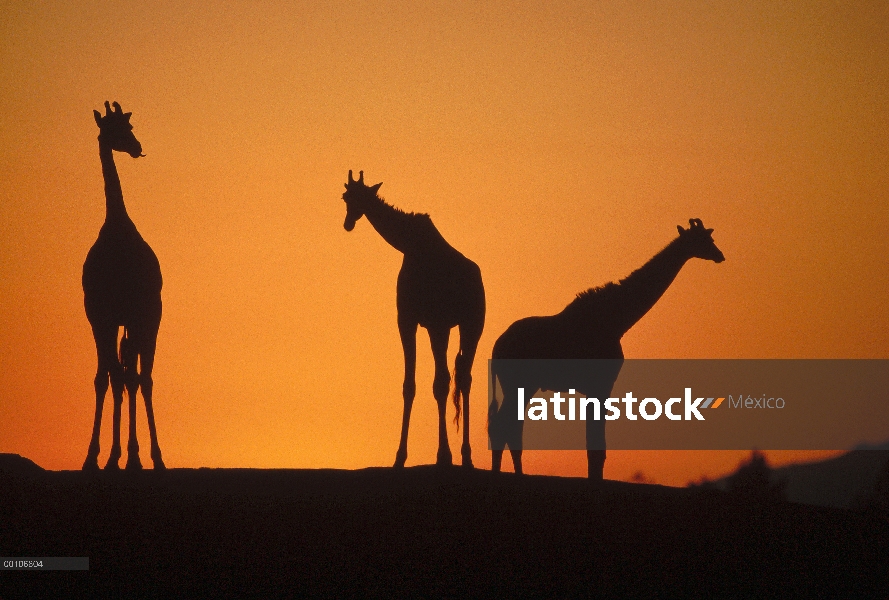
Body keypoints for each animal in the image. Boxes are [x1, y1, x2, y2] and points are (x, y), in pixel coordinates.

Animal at [342, 171, 486, 466]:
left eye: (359, 197)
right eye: (345, 197)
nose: (348, 222)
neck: (410, 245)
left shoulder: (426, 322)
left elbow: (437, 384)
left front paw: (439, 455)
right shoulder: (411, 321)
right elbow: (409, 385)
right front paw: (400, 457)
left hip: (468, 324)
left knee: (457, 379)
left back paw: (460, 455)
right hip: (456, 327)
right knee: (460, 375)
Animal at [490, 218, 724, 480]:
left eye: (709, 237)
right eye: (703, 239)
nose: (720, 255)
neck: (617, 320)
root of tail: (496, 347)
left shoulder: (596, 387)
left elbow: (595, 446)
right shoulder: (602, 384)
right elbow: (597, 448)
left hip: (522, 386)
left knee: (508, 426)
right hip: (518, 383)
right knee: (504, 426)